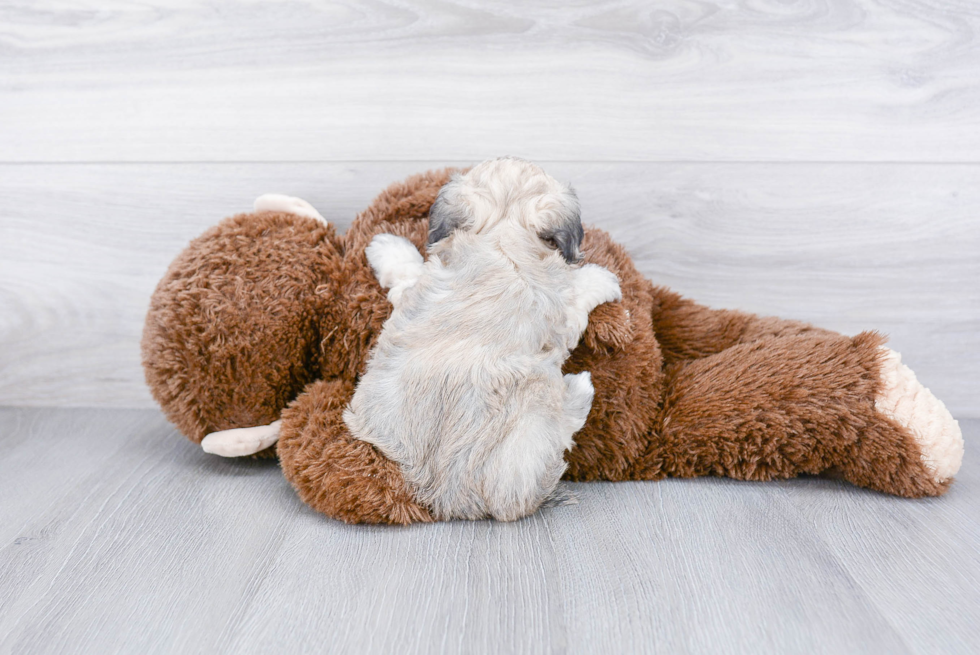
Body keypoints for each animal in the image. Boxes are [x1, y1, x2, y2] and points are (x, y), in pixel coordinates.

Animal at [344, 156, 620, 520]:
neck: (502, 238)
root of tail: (448, 497)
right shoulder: (563, 314)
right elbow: (579, 293)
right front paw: (602, 279)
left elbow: (406, 273)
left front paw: (386, 247)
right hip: (538, 403)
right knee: (565, 425)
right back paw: (580, 386)